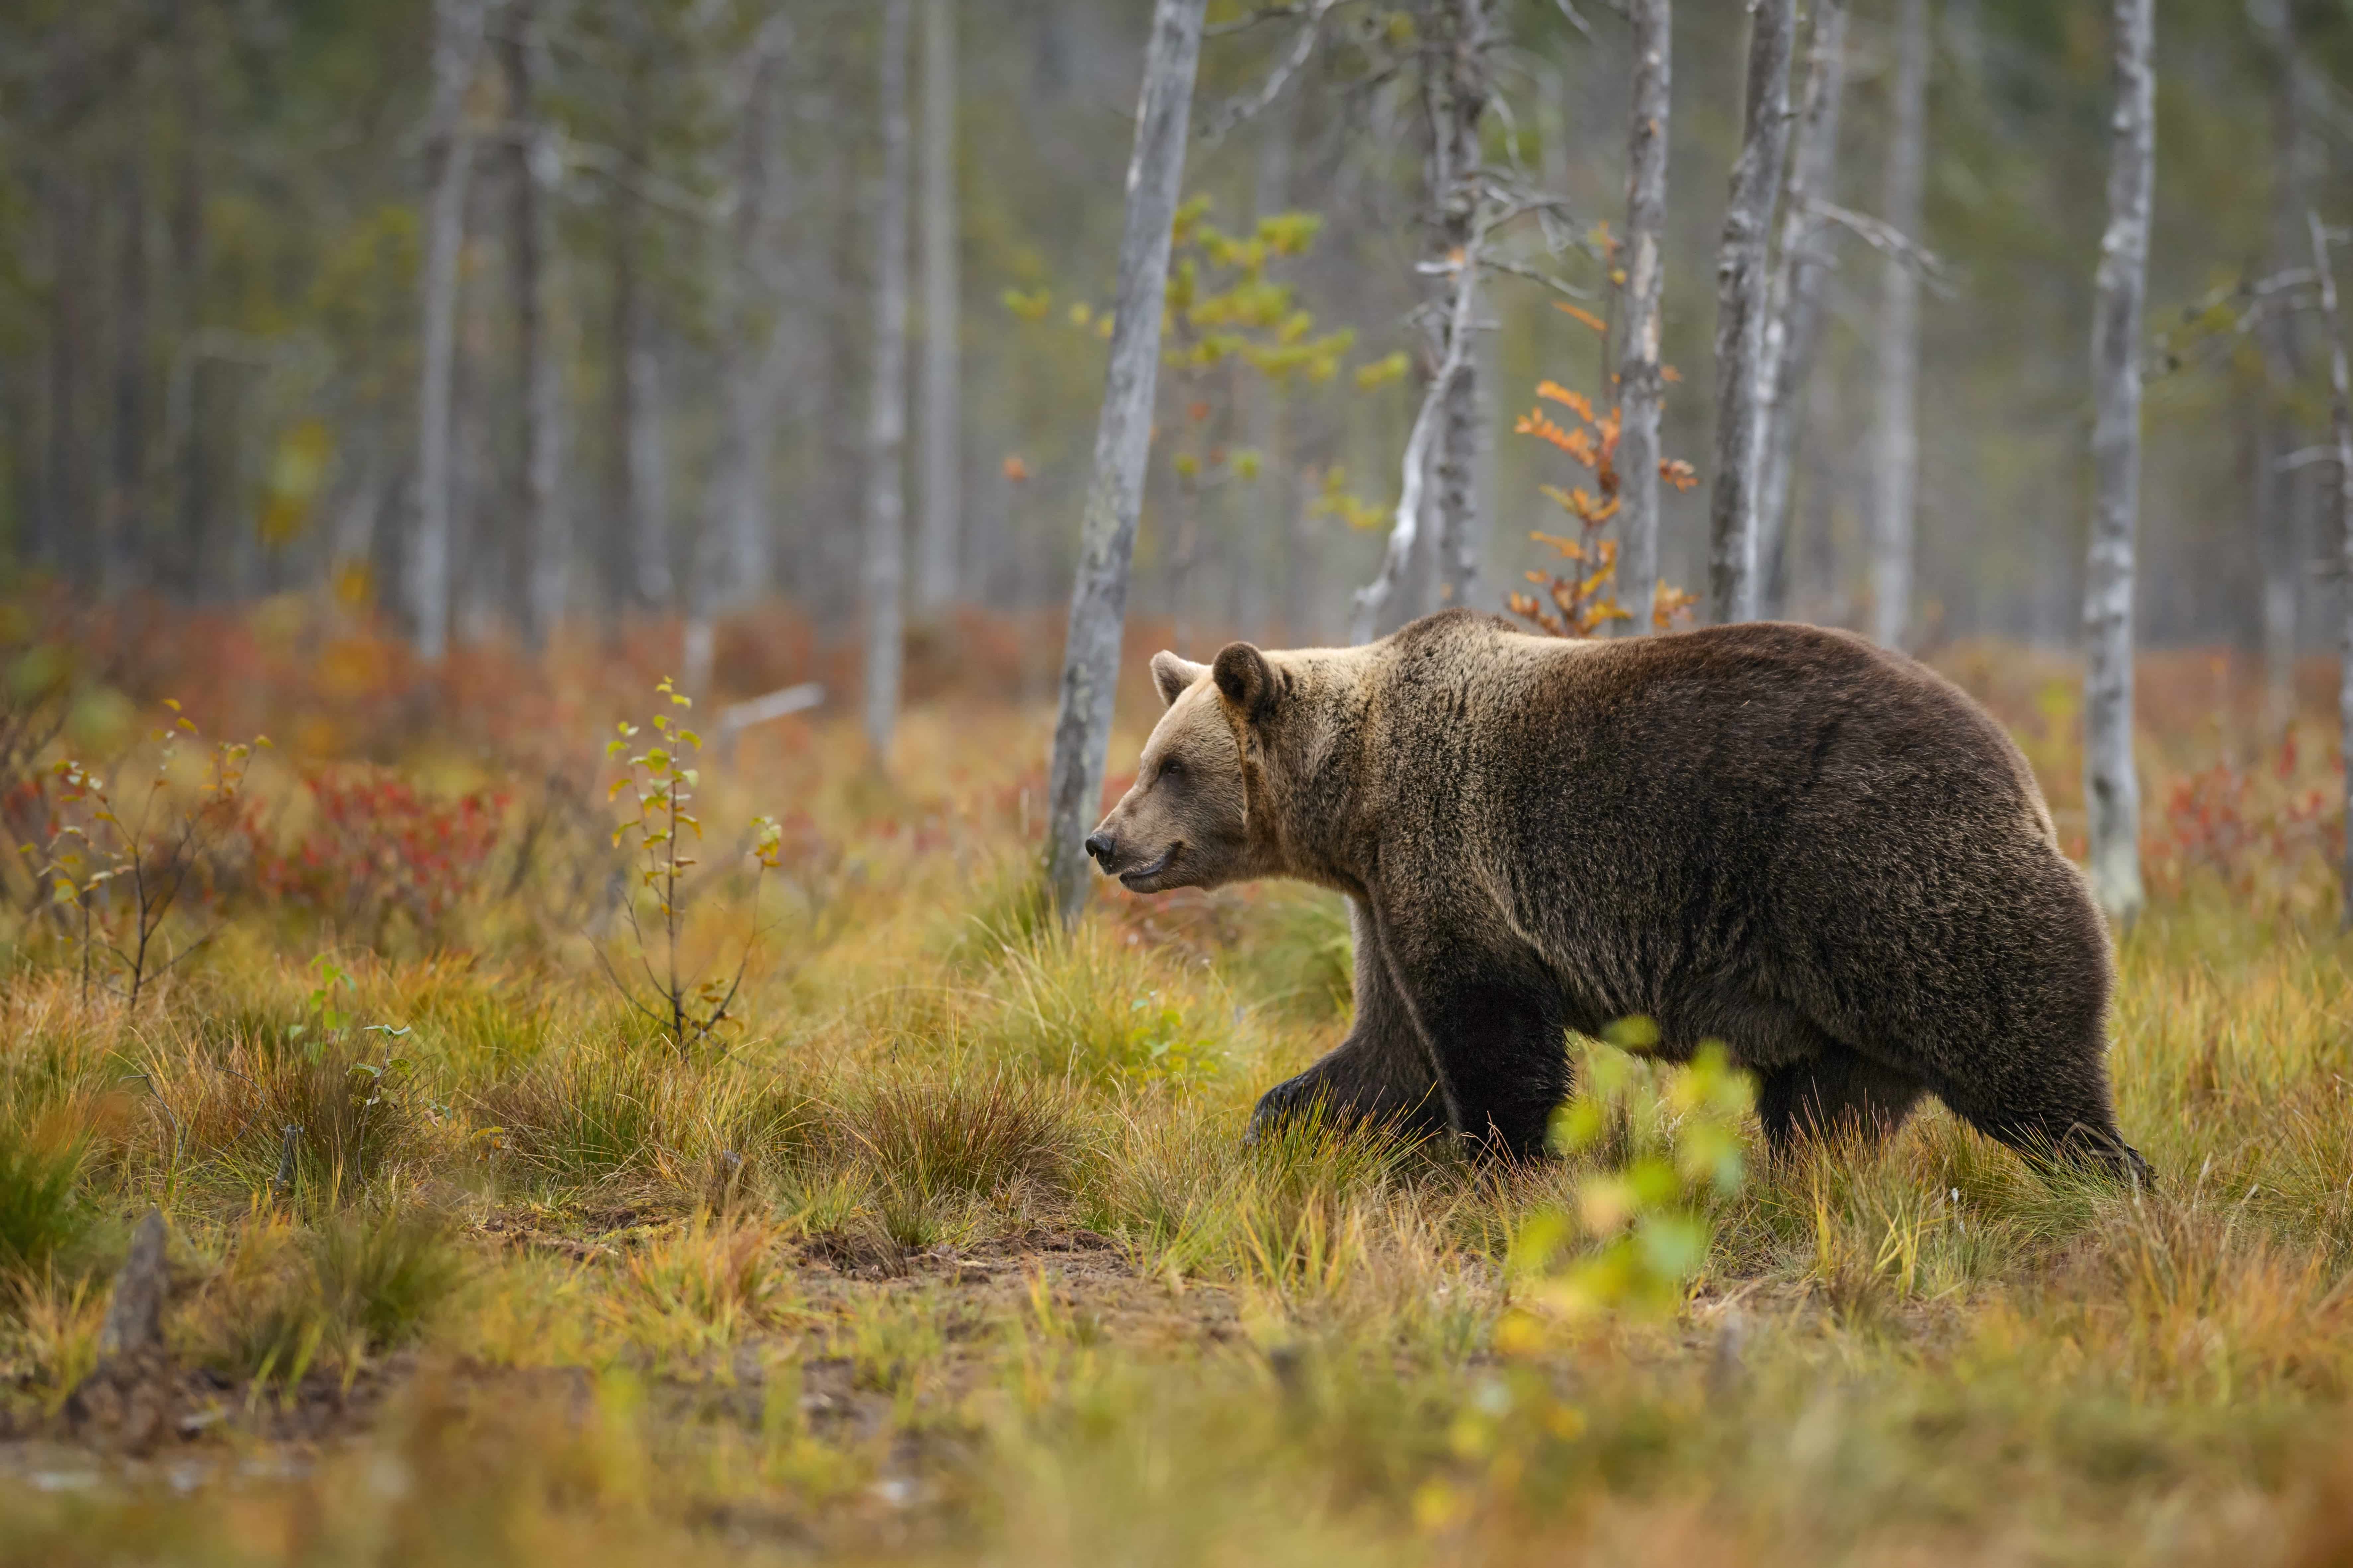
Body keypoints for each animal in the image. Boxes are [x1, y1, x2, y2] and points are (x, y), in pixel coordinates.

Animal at [1082, 606, 2155, 1185]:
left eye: (1170, 765)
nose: (1103, 839)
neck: (1355, 795)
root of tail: (2019, 770)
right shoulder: (1387, 894)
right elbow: (1386, 1050)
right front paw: (1282, 1123)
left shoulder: (1450, 856)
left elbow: (1491, 1041)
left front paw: (1503, 1160)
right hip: (1841, 987)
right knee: (1828, 1111)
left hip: (1888, 876)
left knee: (2023, 1063)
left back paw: (2110, 1179)